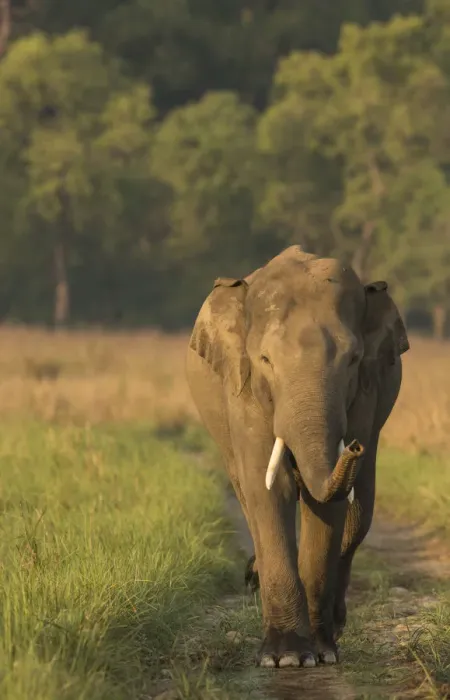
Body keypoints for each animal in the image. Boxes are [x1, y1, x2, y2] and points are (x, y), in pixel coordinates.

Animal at [185, 246, 409, 669]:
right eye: (265, 359)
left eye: (353, 359)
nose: (354, 447)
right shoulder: (243, 391)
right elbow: (270, 490)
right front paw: (286, 658)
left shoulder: (365, 394)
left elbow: (330, 505)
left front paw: (321, 653)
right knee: (249, 494)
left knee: (360, 512)